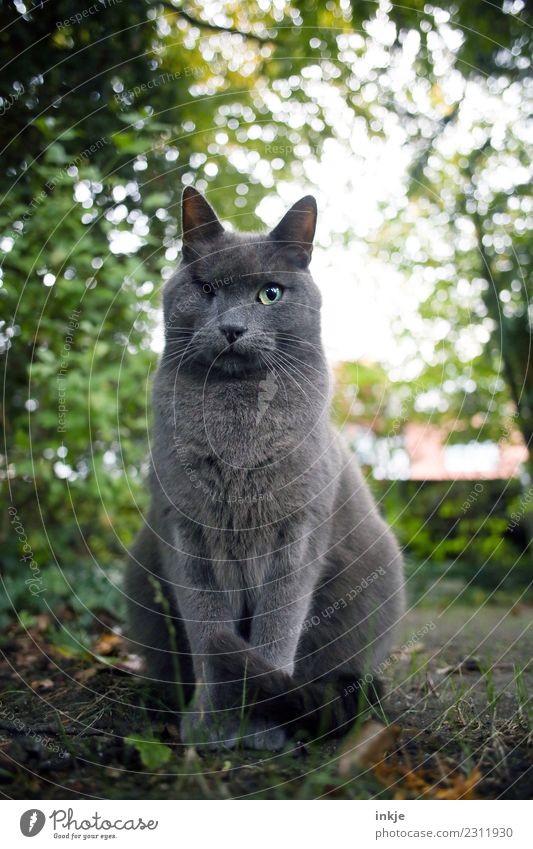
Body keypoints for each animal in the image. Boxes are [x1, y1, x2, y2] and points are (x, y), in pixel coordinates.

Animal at [124, 187, 404, 748]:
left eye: (270, 295)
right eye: (207, 289)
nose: (232, 328)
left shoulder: (296, 532)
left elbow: (278, 628)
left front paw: (261, 732)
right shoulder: (186, 531)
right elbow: (210, 632)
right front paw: (211, 727)